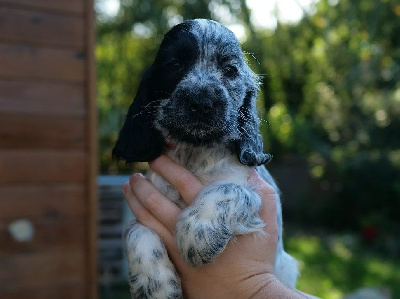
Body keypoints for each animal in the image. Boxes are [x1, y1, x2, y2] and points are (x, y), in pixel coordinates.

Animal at [112, 19, 296, 299]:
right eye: (175, 64)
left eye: (230, 70)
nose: (201, 101)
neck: (195, 154)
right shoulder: (146, 205)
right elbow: (135, 230)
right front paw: (156, 286)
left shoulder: (260, 195)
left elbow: (228, 189)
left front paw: (197, 232)